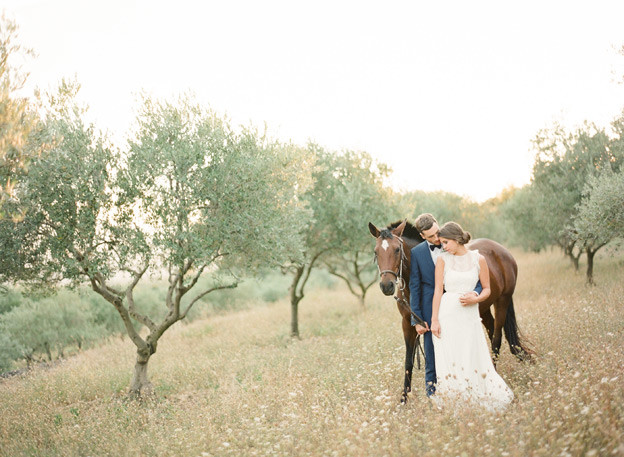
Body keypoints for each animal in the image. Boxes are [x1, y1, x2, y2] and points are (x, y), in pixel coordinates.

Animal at [368, 219, 532, 400]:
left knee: (496, 339)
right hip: (483, 308)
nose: (386, 286)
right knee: (492, 333)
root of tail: (501, 250)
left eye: (397, 249)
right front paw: (404, 400)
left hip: (502, 301)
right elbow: (408, 361)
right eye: (376, 251)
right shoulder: (407, 324)